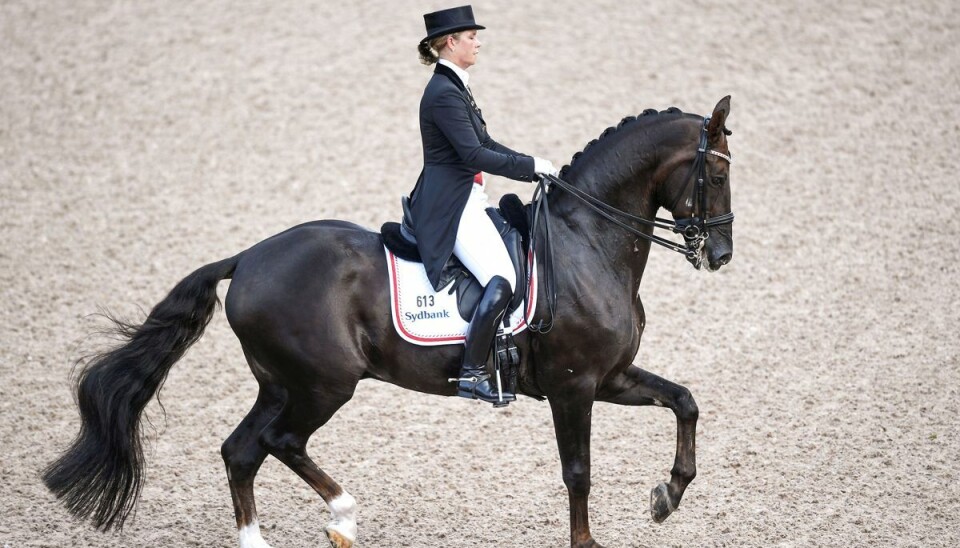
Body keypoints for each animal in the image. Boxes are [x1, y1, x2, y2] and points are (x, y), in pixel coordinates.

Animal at [41, 96, 736, 544]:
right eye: (718, 171)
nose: (722, 255)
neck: (587, 239)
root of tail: (249, 257)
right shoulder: (573, 387)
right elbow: (578, 473)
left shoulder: (611, 377)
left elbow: (685, 400)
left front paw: (668, 495)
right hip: (323, 384)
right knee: (279, 442)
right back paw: (343, 518)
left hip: (281, 383)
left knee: (242, 450)